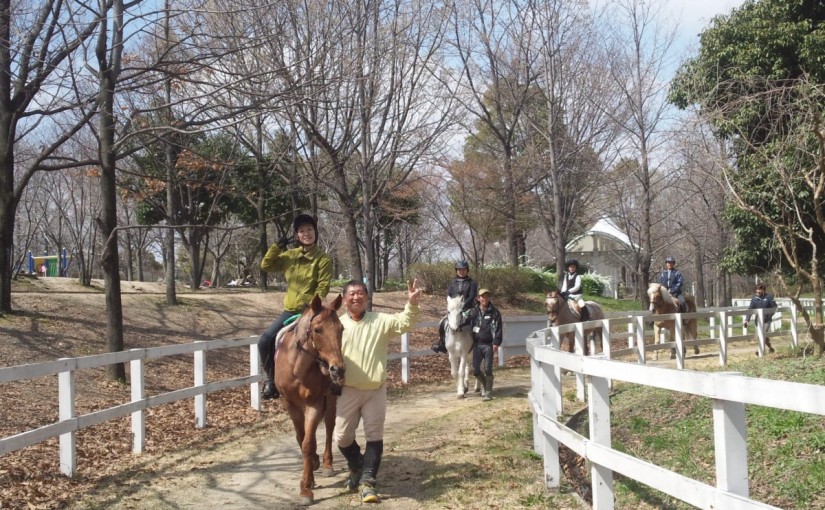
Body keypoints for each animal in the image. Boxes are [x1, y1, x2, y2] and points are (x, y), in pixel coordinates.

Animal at [275, 294, 345, 506]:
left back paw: (327, 464)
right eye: (317, 330)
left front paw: (305, 488)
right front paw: (310, 475)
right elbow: (302, 437)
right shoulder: (290, 403)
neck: (298, 366)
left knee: (329, 427)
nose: (338, 370)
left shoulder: (314, 402)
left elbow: (307, 443)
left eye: (341, 329)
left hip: (330, 399)